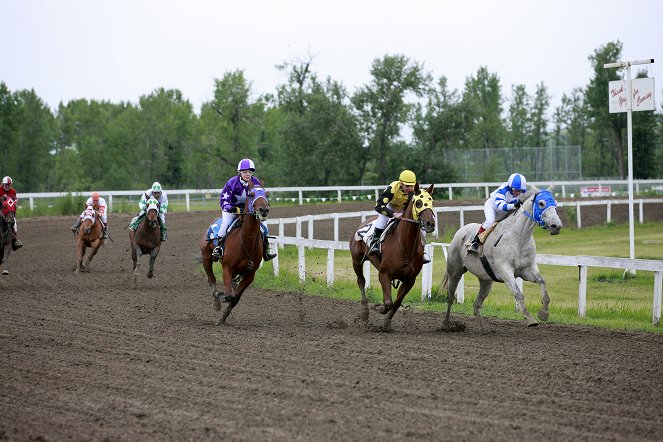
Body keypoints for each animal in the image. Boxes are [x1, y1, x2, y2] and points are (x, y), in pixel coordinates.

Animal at [198, 180, 272, 324]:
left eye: (266, 194)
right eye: (251, 194)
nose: (264, 210)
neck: (246, 242)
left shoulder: (250, 274)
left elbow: (235, 298)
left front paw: (223, 317)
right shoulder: (227, 267)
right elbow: (228, 295)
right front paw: (221, 301)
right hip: (206, 257)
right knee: (211, 279)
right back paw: (216, 300)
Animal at [350, 183, 438, 332]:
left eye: (431, 201)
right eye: (418, 203)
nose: (430, 224)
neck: (405, 246)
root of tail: (362, 224)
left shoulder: (409, 280)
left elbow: (396, 303)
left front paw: (386, 323)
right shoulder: (384, 274)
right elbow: (388, 303)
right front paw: (377, 308)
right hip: (356, 260)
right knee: (361, 281)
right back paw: (365, 312)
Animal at [440, 185, 564, 334]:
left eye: (555, 203)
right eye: (541, 203)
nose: (556, 226)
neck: (519, 238)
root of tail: (460, 231)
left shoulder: (527, 270)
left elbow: (542, 282)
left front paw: (544, 313)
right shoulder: (505, 271)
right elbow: (518, 294)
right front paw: (530, 319)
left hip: (486, 280)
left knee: (477, 304)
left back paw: (483, 329)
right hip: (455, 271)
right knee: (450, 297)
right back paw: (446, 324)